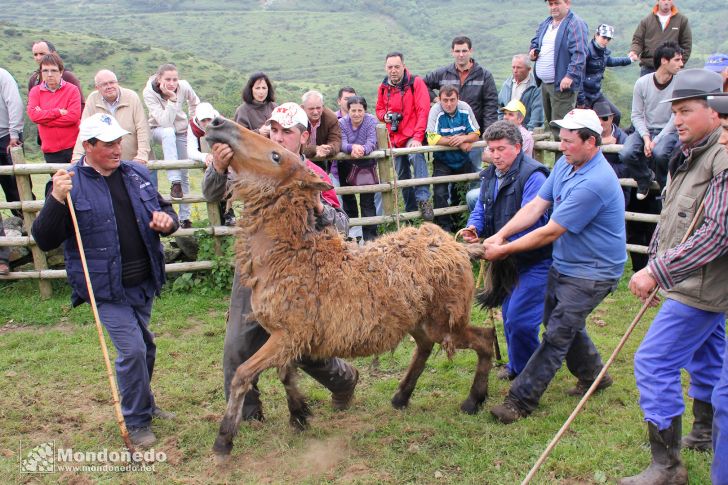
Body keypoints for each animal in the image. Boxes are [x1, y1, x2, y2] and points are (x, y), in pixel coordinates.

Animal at [205, 117, 494, 462]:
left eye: (276, 155)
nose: (217, 124)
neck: (288, 257)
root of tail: (460, 248)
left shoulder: (288, 334)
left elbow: (243, 375)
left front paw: (224, 440)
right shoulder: (288, 336)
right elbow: (285, 374)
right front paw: (299, 415)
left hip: (445, 320)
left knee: (484, 340)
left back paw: (473, 400)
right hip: (419, 319)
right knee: (426, 347)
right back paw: (401, 396)